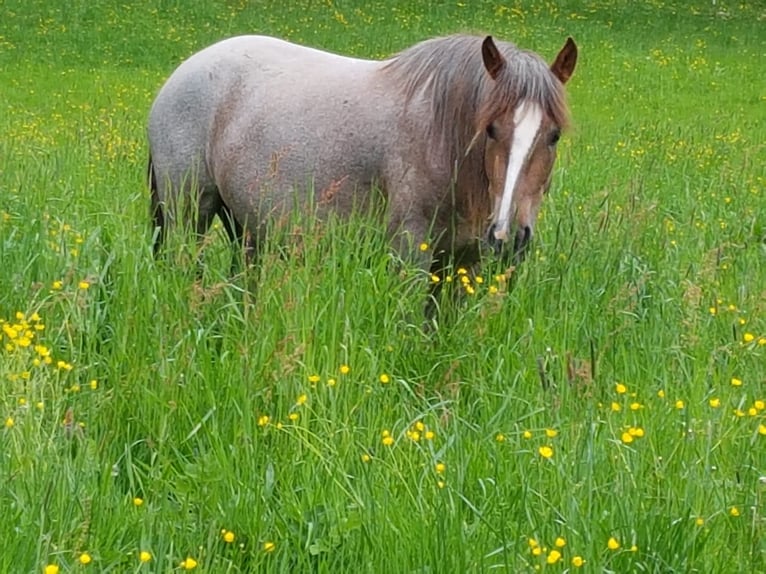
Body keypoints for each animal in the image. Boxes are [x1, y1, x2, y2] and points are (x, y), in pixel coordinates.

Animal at [147, 33, 580, 280]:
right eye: (490, 129)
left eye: (553, 136)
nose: (508, 236)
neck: (442, 138)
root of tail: (179, 75)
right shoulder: (410, 252)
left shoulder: (463, 261)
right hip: (189, 215)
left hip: (245, 228)